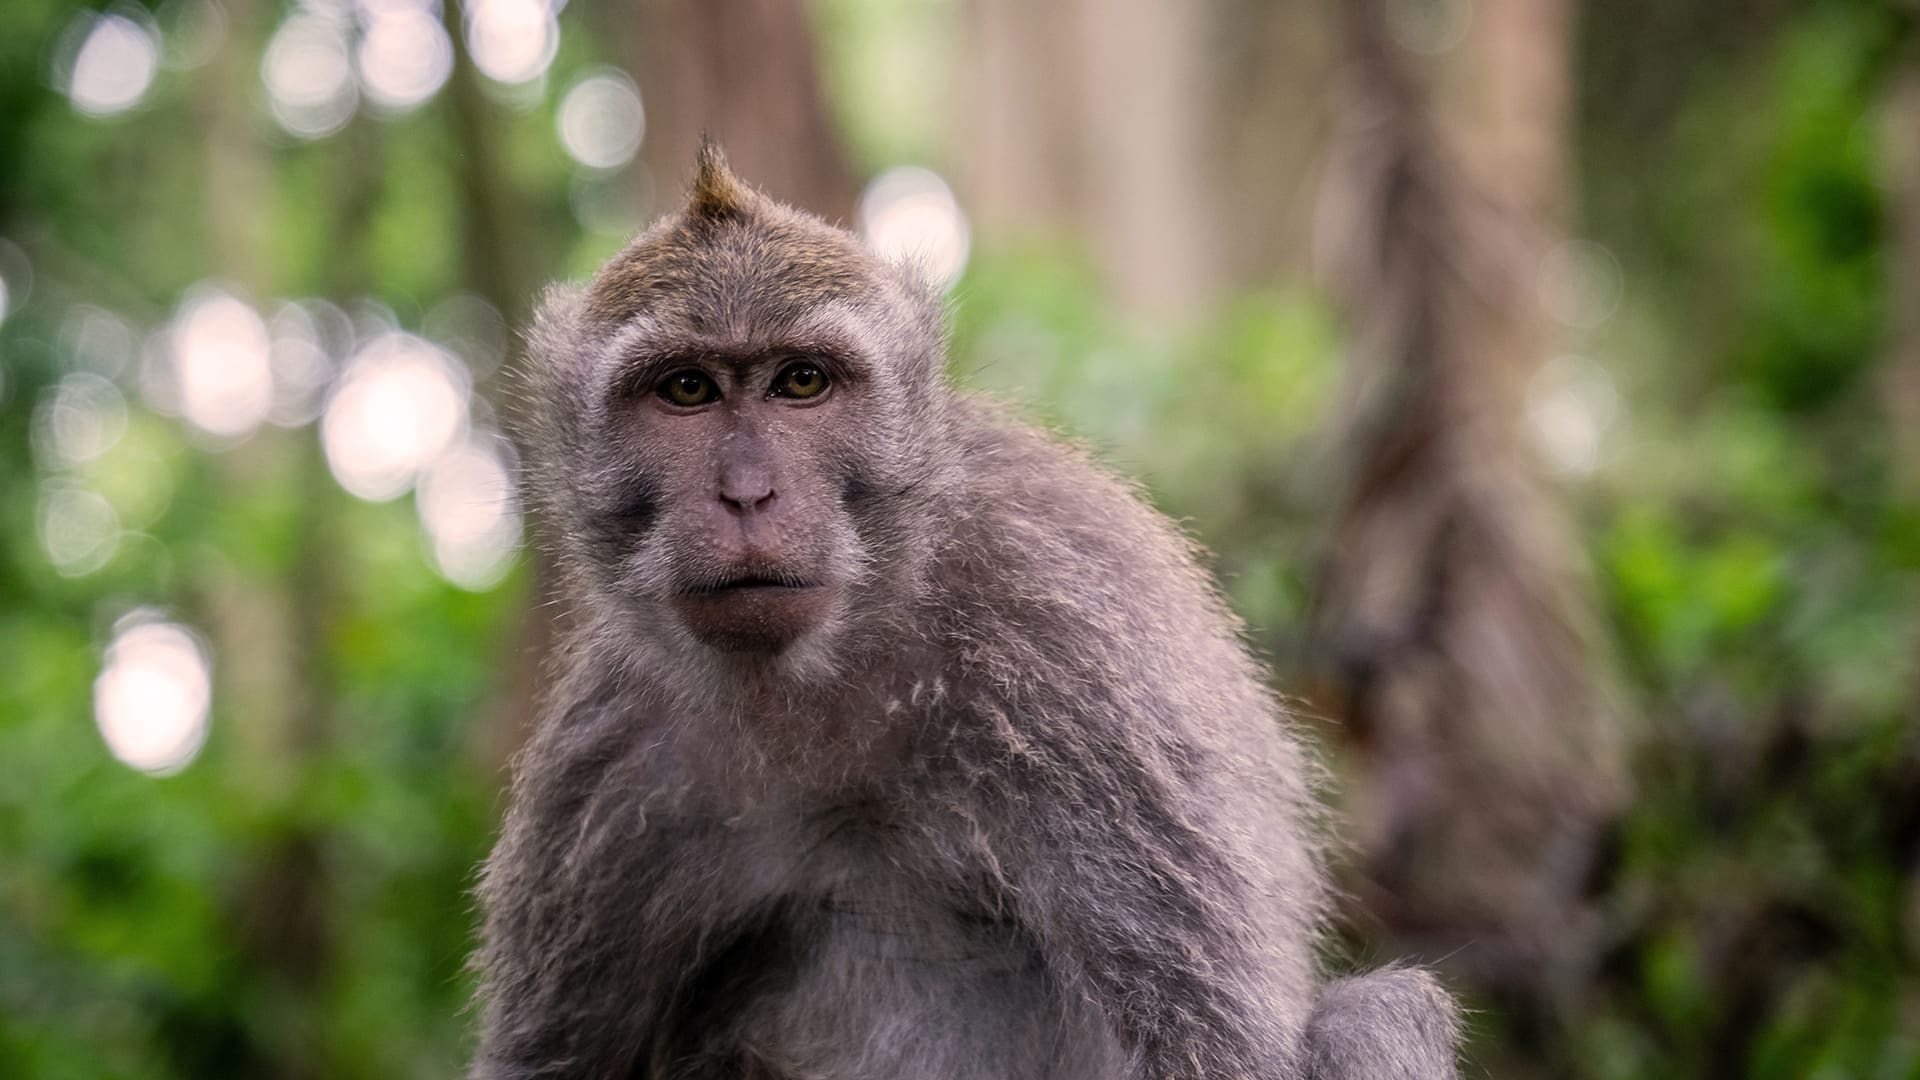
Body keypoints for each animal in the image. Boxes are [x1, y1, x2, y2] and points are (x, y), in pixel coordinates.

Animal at [470, 140, 1460, 1080]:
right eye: (686, 389)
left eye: (801, 382)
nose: (747, 494)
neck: (833, 678)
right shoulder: (609, 762)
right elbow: (550, 1059)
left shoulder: (1070, 664)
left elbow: (1218, 1051)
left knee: (1376, 1009)